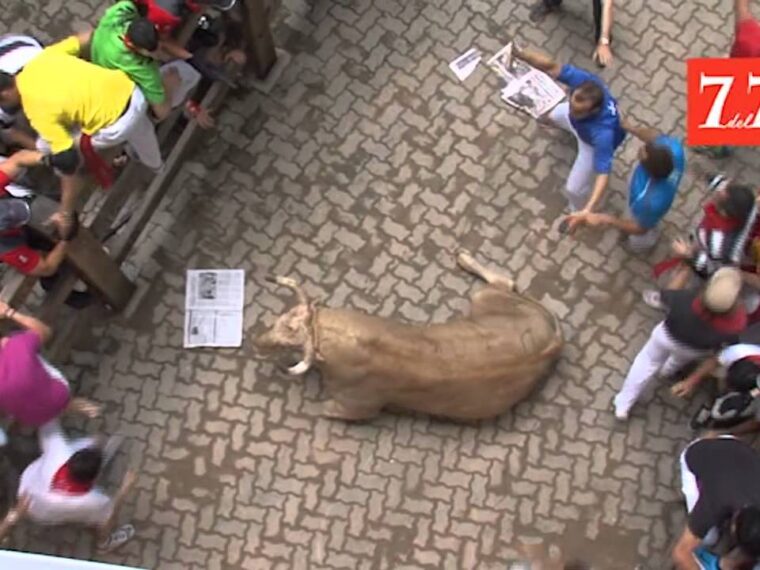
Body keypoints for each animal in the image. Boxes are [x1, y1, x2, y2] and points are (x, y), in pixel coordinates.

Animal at [255, 251, 564, 420]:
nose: (258, 342)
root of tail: (553, 341)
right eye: (281, 318)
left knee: (502, 279)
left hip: (483, 298)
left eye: (290, 344)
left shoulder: (357, 407)